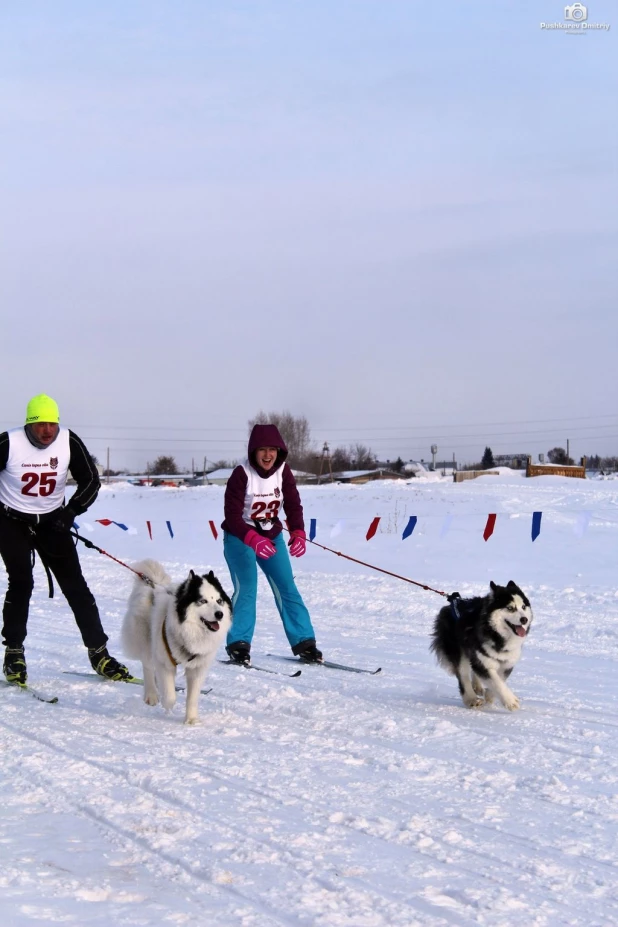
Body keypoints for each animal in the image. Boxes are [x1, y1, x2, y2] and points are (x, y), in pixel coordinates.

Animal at [121, 560, 231, 724]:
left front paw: (191, 720)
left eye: (219, 601)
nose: (220, 614)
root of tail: (153, 586)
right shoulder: (165, 662)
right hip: (146, 640)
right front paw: (167, 705)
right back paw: (152, 694)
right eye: (203, 601)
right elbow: (170, 695)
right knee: (148, 666)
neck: (189, 631)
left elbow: (192, 697)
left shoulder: (198, 668)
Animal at [428, 584, 528, 716]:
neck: (497, 635)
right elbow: (495, 681)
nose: (524, 619)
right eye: (510, 608)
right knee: (463, 675)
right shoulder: (482, 661)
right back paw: (471, 699)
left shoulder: (507, 663)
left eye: (523, 607)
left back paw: (477, 686)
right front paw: (510, 701)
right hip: (458, 650)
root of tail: (452, 603)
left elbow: (499, 679)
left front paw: (490, 695)